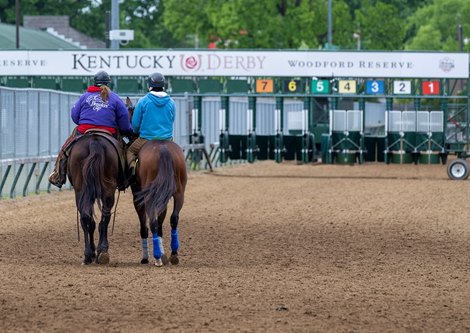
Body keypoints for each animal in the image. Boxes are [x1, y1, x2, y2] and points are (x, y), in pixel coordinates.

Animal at [69, 132, 123, 264]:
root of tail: (94, 142)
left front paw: (93, 251)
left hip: (81, 191)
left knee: (87, 217)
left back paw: (89, 254)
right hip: (107, 189)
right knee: (104, 216)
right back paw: (101, 251)